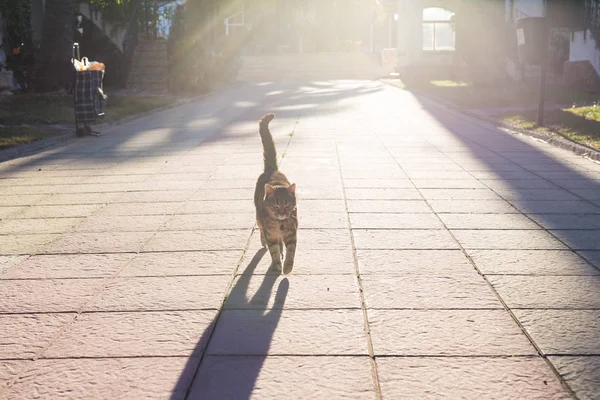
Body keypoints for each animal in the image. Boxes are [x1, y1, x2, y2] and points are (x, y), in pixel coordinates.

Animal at [254, 112, 298, 276]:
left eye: (287, 205)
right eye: (275, 206)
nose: (282, 213)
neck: (280, 225)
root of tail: (272, 169)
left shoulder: (292, 234)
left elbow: (291, 252)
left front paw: (287, 267)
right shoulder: (271, 235)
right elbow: (274, 251)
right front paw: (278, 265)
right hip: (259, 219)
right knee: (261, 231)